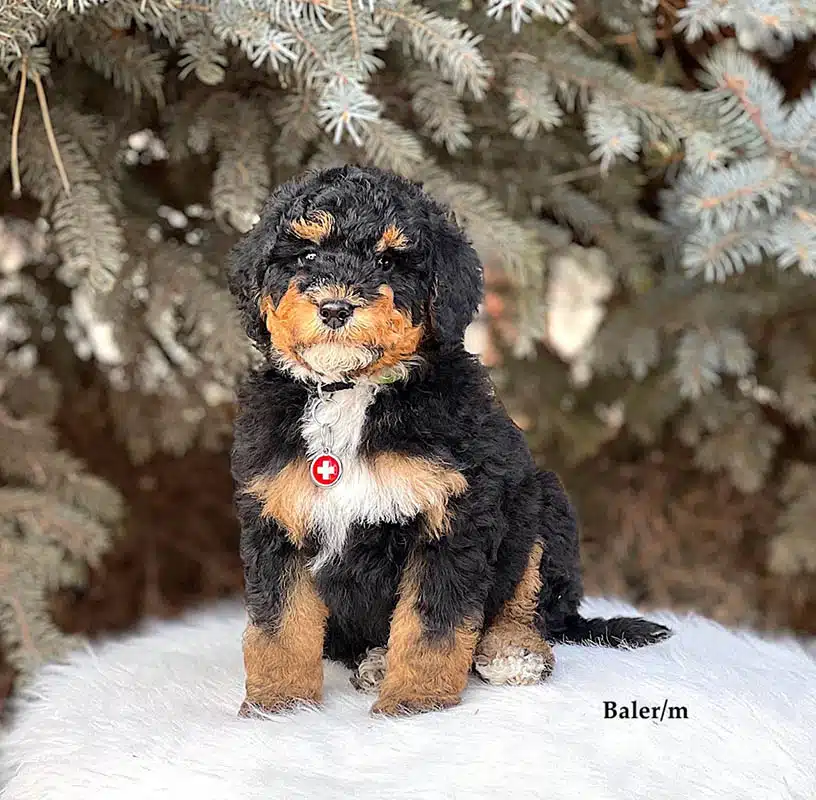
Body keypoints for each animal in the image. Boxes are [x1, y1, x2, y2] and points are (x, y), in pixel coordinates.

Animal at [225, 164, 668, 720]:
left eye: (388, 262)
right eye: (306, 255)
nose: (335, 307)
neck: (353, 392)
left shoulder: (454, 514)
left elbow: (433, 622)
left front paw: (416, 701)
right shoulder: (275, 514)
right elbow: (279, 622)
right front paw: (278, 705)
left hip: (539, 502)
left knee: (533, 603)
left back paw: (512, 652)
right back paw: (374, 661)